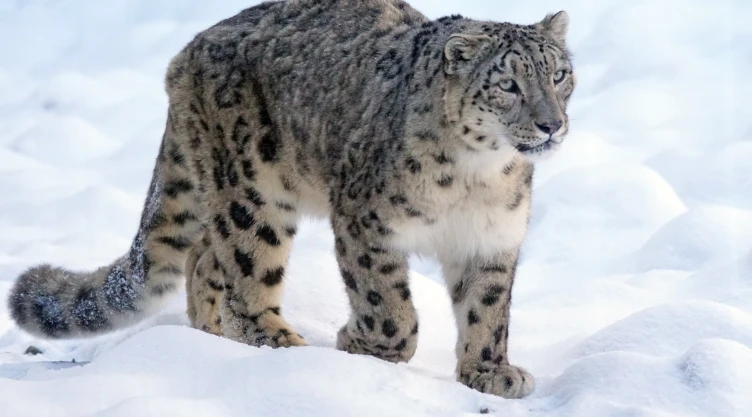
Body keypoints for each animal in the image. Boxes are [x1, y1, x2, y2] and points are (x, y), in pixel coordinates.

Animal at [8, 0, 575, 399]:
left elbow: (488, 309)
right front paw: (360, 344)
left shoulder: (492, 239)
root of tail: (187, 52)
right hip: (253, 193)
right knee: (244, 274)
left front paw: (490, 372)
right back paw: (281, 346)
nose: (552, 123)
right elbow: (388, 307)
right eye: (507, 84)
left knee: (203, 260)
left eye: (559, 74)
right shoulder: (366, 222)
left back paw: (212, 339)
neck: (478, 178)